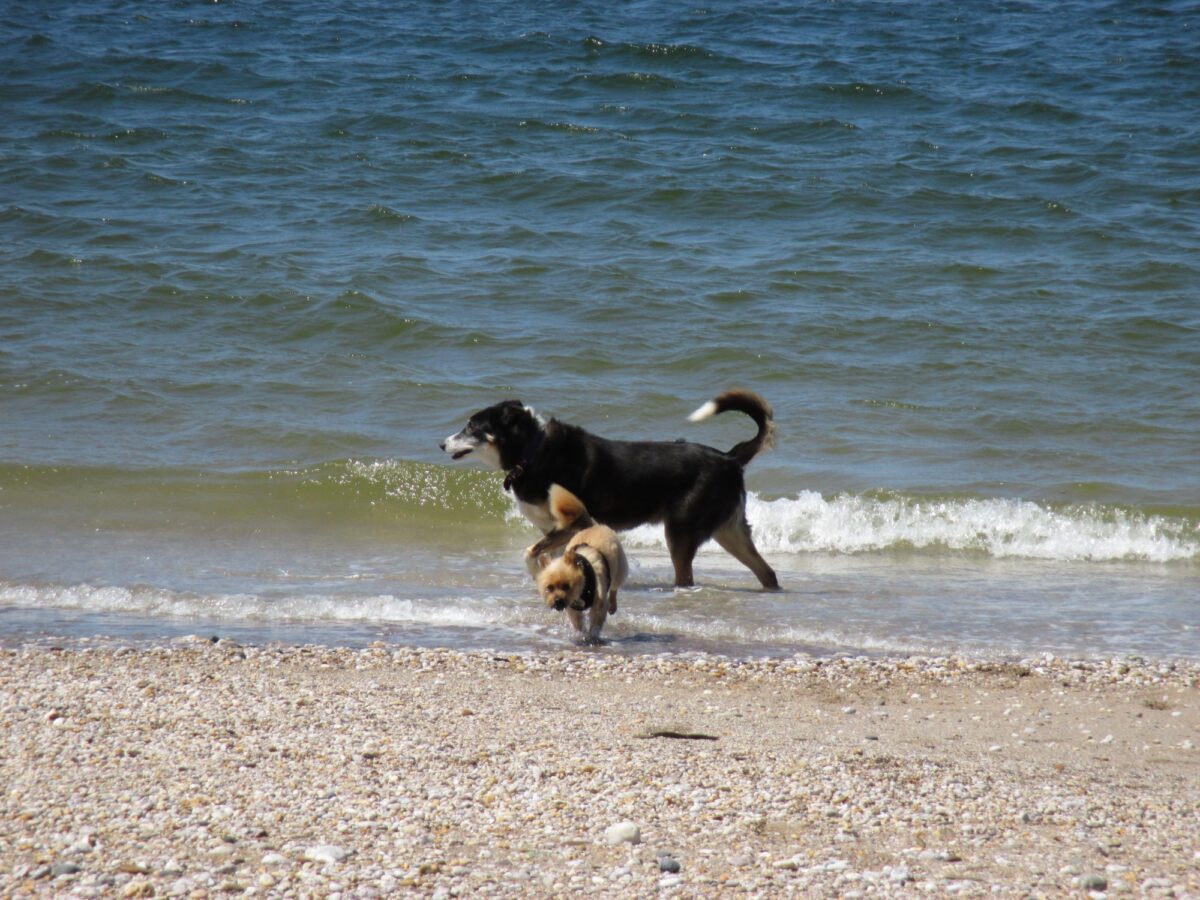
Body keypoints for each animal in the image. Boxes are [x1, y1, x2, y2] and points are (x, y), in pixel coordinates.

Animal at [441, 388, 777, 592]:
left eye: (471, 427)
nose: (442, 444)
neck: (532, 452)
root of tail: (729, 458)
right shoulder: (555, 530)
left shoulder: (575, 522)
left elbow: (530, 553)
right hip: (729, 532)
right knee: (767, 572)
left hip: (681, 533)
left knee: (687, 576)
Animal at [530, 482, 633, 643]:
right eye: (549, 588)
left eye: (566, 586)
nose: (557, 601)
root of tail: (591, 526)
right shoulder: (573, 609)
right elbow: (578, 624)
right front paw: (582, 635)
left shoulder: (599, 605)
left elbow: (595, 624)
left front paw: (592, 637)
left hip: (620, 569)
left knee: (615, 587)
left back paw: (613, 604)